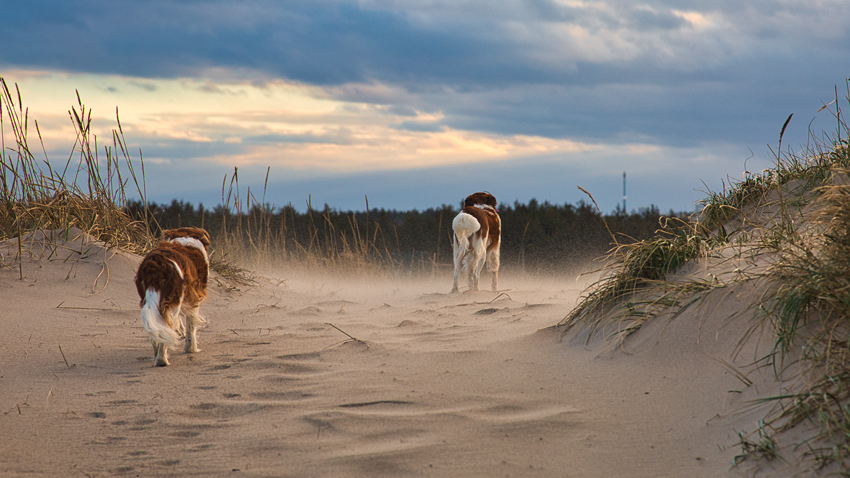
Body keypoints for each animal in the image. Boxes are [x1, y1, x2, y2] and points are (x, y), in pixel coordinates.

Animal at [135, 227, 211, 366]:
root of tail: (155, 266)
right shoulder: (193, 299)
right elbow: (191, 327)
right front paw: (191, 349)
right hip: (175, 296)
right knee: (166, 325)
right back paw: (162, 360)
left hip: (149, 300)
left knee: (156, 329)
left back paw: (156, 356)